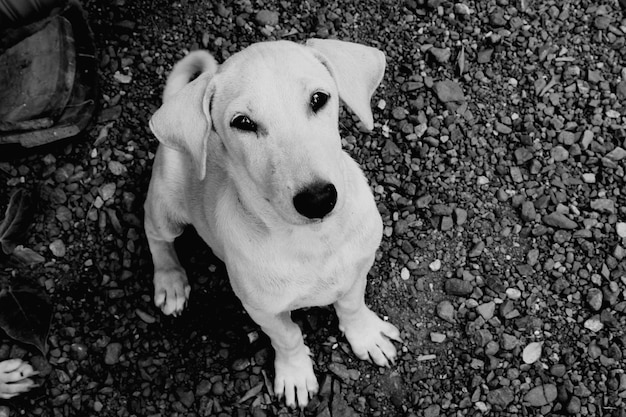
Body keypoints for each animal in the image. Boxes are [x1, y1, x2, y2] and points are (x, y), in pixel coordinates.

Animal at [144, 39, 400, 406]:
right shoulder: (261, 309)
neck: (314, 241)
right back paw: (170, 282)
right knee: (156, 235)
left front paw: (366, 337)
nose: (318, 199)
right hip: (165, 203)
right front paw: (295, 375)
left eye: (319, 99)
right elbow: (287, 337)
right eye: (243, 122)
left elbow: (352, 305)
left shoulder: (357, 269)